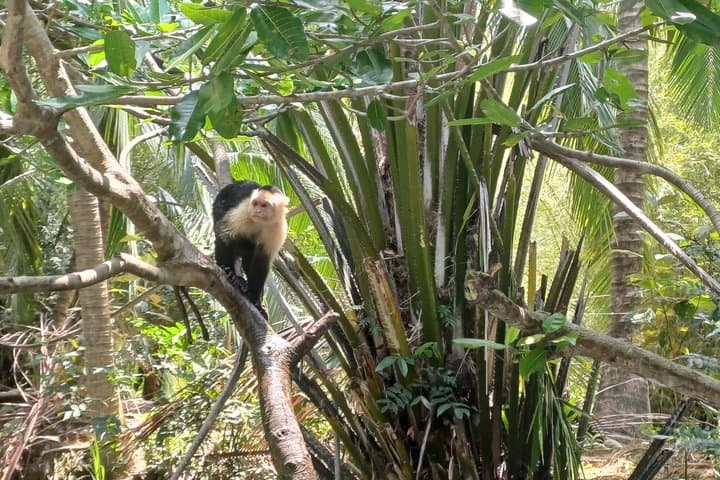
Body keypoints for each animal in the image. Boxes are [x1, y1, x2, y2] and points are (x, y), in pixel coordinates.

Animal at [212, 180, 289, 316]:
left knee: (250, 251)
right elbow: (225, 233)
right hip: (219, 205)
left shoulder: (279, 227)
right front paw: (228, 270)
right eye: (256, 204)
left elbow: (262, 259)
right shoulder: (245, 210)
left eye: (264, 205)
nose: (257, 211)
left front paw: (255, 299)